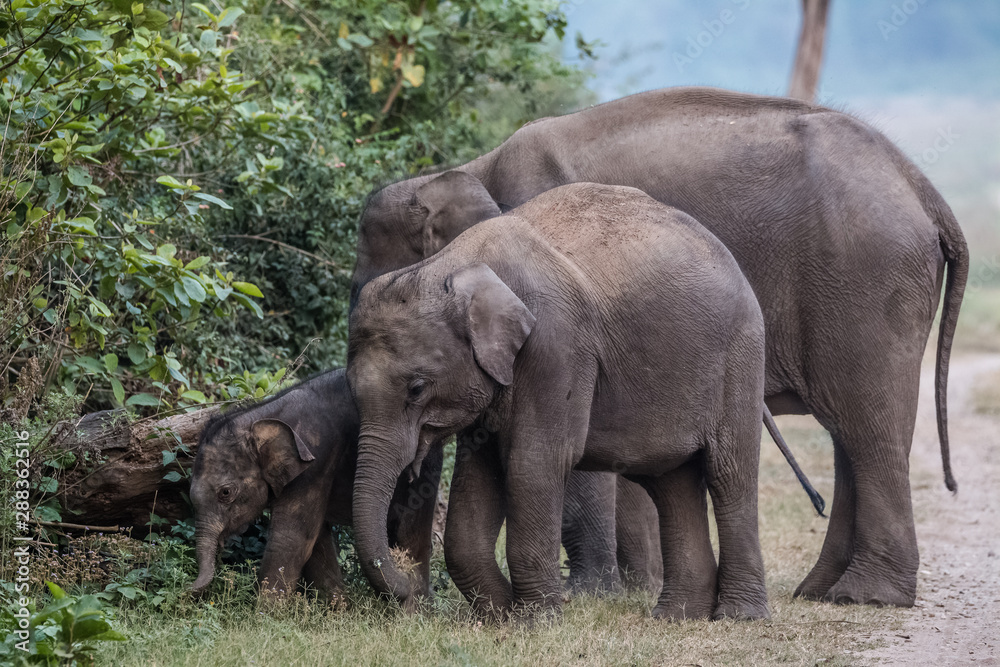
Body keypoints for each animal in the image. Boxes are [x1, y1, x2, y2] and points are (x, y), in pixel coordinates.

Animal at [189, 370, 440, 600]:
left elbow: (292, 538)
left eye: (225, 492)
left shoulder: (318, 458)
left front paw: (265, 614)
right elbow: (314, 540)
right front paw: (337, 608)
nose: (188, 588)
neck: (261, 416)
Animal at [348, 184, 776, 620]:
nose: (410, 589)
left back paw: (739, 616)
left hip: (741, 356)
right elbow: (478, 473)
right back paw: (676, 617)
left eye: (417, 388)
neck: (453, 264)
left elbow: (534, 462)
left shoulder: (556, 344)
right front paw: (499, 616)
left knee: (729, 475)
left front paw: (536, 620)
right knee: (671, 482)